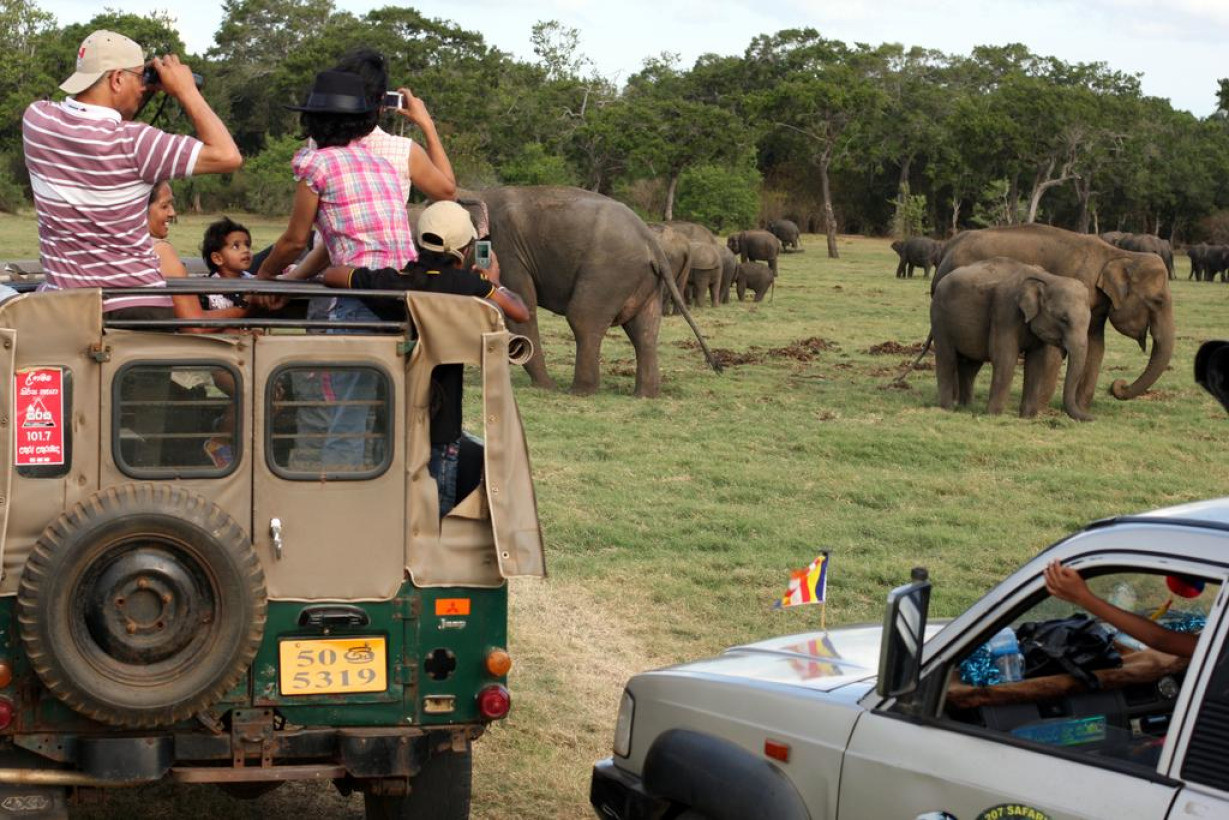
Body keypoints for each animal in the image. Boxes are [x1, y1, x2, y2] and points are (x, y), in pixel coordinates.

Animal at [469, 186, 717, 398]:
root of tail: (652, 244)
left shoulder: (507, 252)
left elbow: (520, 309)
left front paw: (544, 387)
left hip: (608, 272)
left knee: (583, 318)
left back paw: (578, 391)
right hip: (645, 282)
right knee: (645, 331)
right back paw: (645, 395)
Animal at [929, 258, 1096, 422]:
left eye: (1089, 321)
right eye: (1063, 319)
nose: (1092, 418)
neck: (1048, 278)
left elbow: (1036, 362)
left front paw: (1028, 418)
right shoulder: (1005, 311)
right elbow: (1005, 358)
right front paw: (993, 415)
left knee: (970, 366)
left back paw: (966, 407)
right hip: (939, 319)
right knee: (947, 358)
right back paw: (947, 408)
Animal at [934, 222, 1174, 408]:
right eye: (1158, 301)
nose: (1119, 385)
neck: (1117, 254)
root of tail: (948, 248)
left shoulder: (1096, 304)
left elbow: (1096, 345)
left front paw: (1080, 409)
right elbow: (1054, 351)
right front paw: (1041, 408)